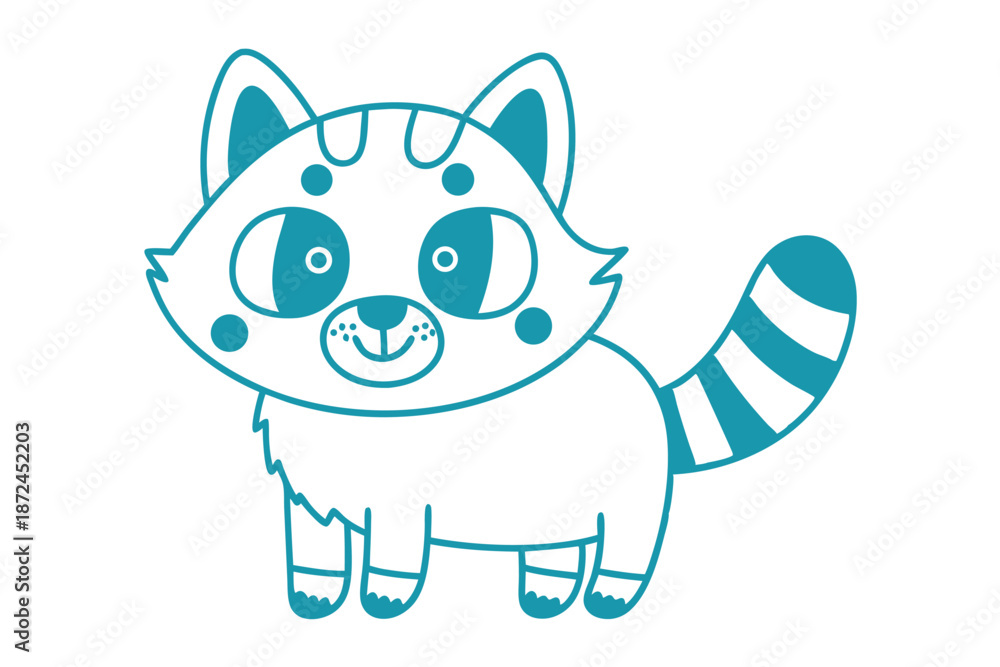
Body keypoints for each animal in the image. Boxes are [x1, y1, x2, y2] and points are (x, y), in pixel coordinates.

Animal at [147, 51, 857, 619]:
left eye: (454, 259)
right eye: (312, 259)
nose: (382, 313)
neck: (372, 418)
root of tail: (649, 386)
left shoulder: (404, 509)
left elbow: (394, 558)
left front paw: (384, 600)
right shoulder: (308, 504)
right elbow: (315, 554)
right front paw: (314, 598)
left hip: (631, 499)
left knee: (625, 548)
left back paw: (609, 596)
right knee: (556, 548)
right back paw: (544, 595)